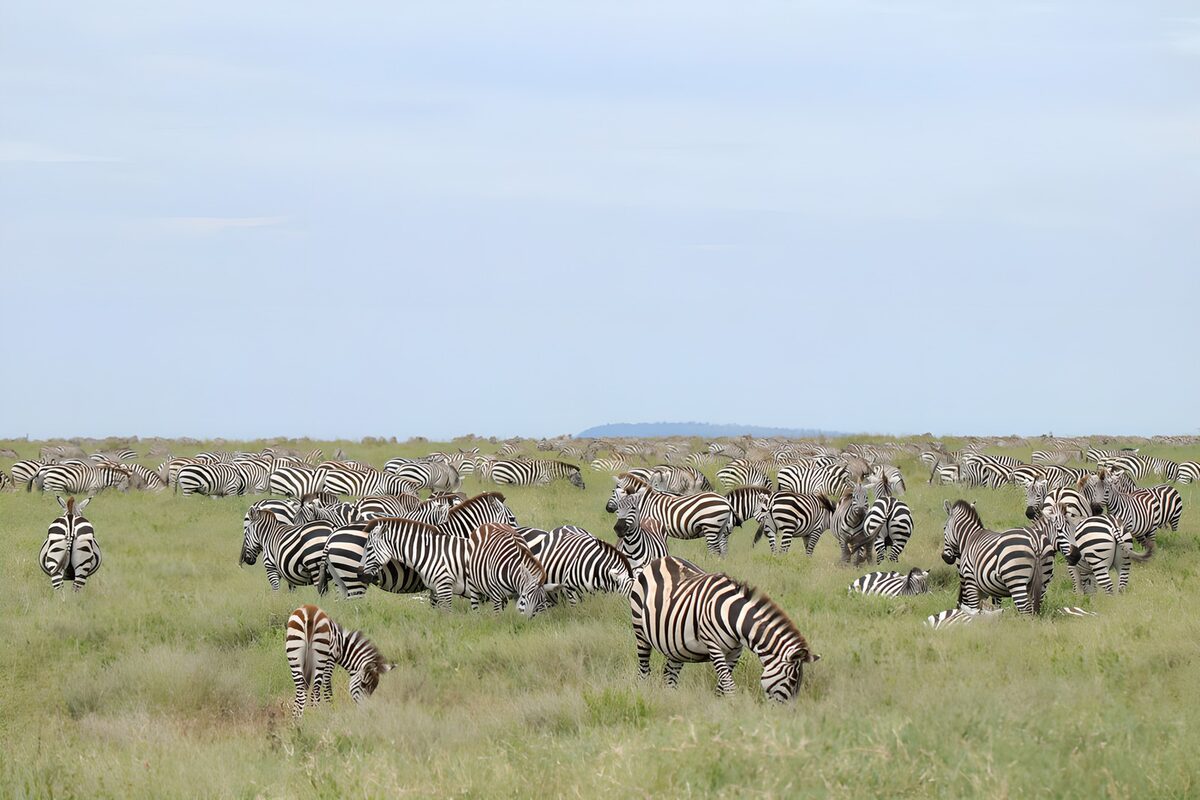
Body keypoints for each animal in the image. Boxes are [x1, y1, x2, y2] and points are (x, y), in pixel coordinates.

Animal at [629, 556, 819, 700]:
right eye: (792, 681)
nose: (787, 713)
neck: (734, 617)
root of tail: (661, 559)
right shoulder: (714, 645)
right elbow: (728, 684)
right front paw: (733, 710)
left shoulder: (736, 651)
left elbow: (722, 685)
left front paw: (722, 706)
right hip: (640, 630)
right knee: (644, 670)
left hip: (676, 645)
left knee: (669, 675)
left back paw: (673, 699)